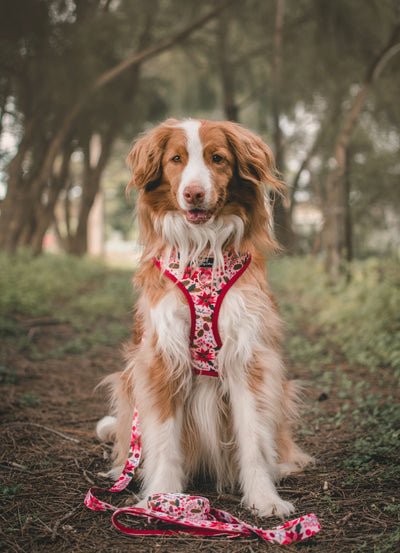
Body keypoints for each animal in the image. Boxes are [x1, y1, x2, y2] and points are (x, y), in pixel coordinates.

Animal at [96, 118, 310, 516]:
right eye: (176, 159)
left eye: (218, 158)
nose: (194, 194)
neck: (203, 251)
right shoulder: (161, 358)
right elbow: (164, 438)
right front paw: (161, 499)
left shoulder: (247, 358)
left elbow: (253, 437)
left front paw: (264, 498)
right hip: (127, 382)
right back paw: (126, 468)